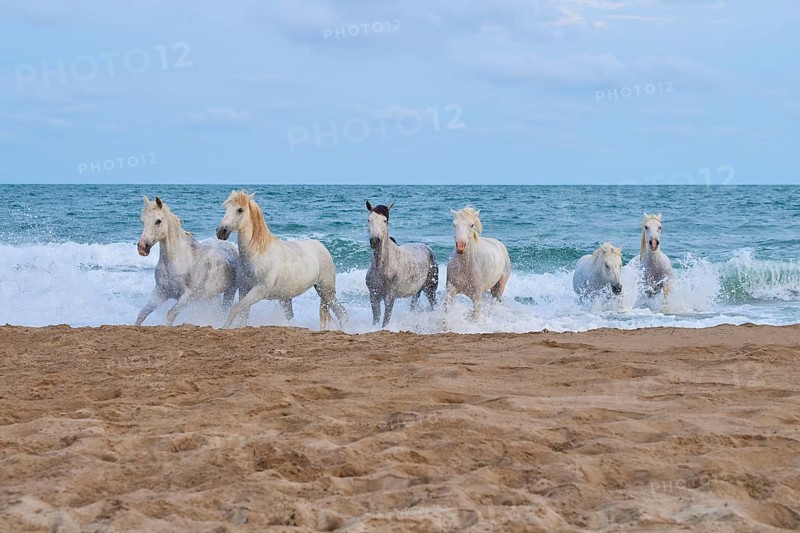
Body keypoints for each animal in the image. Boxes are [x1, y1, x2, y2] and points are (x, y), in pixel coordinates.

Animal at [135, 195, 238, 326]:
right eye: (142, 221)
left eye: (158, 221)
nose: (142, 247)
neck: (178, 260)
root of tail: (232, 248)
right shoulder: (160, 293)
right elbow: (142, 314)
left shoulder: (188, 296)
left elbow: (170, 314)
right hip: (210, 296)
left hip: (230, 290)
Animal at [215, 190, 346, 329]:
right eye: (226, 208)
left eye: (240, 210)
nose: (221, 231)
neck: (256, 255)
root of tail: (322, 247)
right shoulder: (244, 289)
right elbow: (242, 314)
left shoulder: (259, 291)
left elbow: (235, 309)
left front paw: (223, 327)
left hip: (326, 291)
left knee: (342, 313)